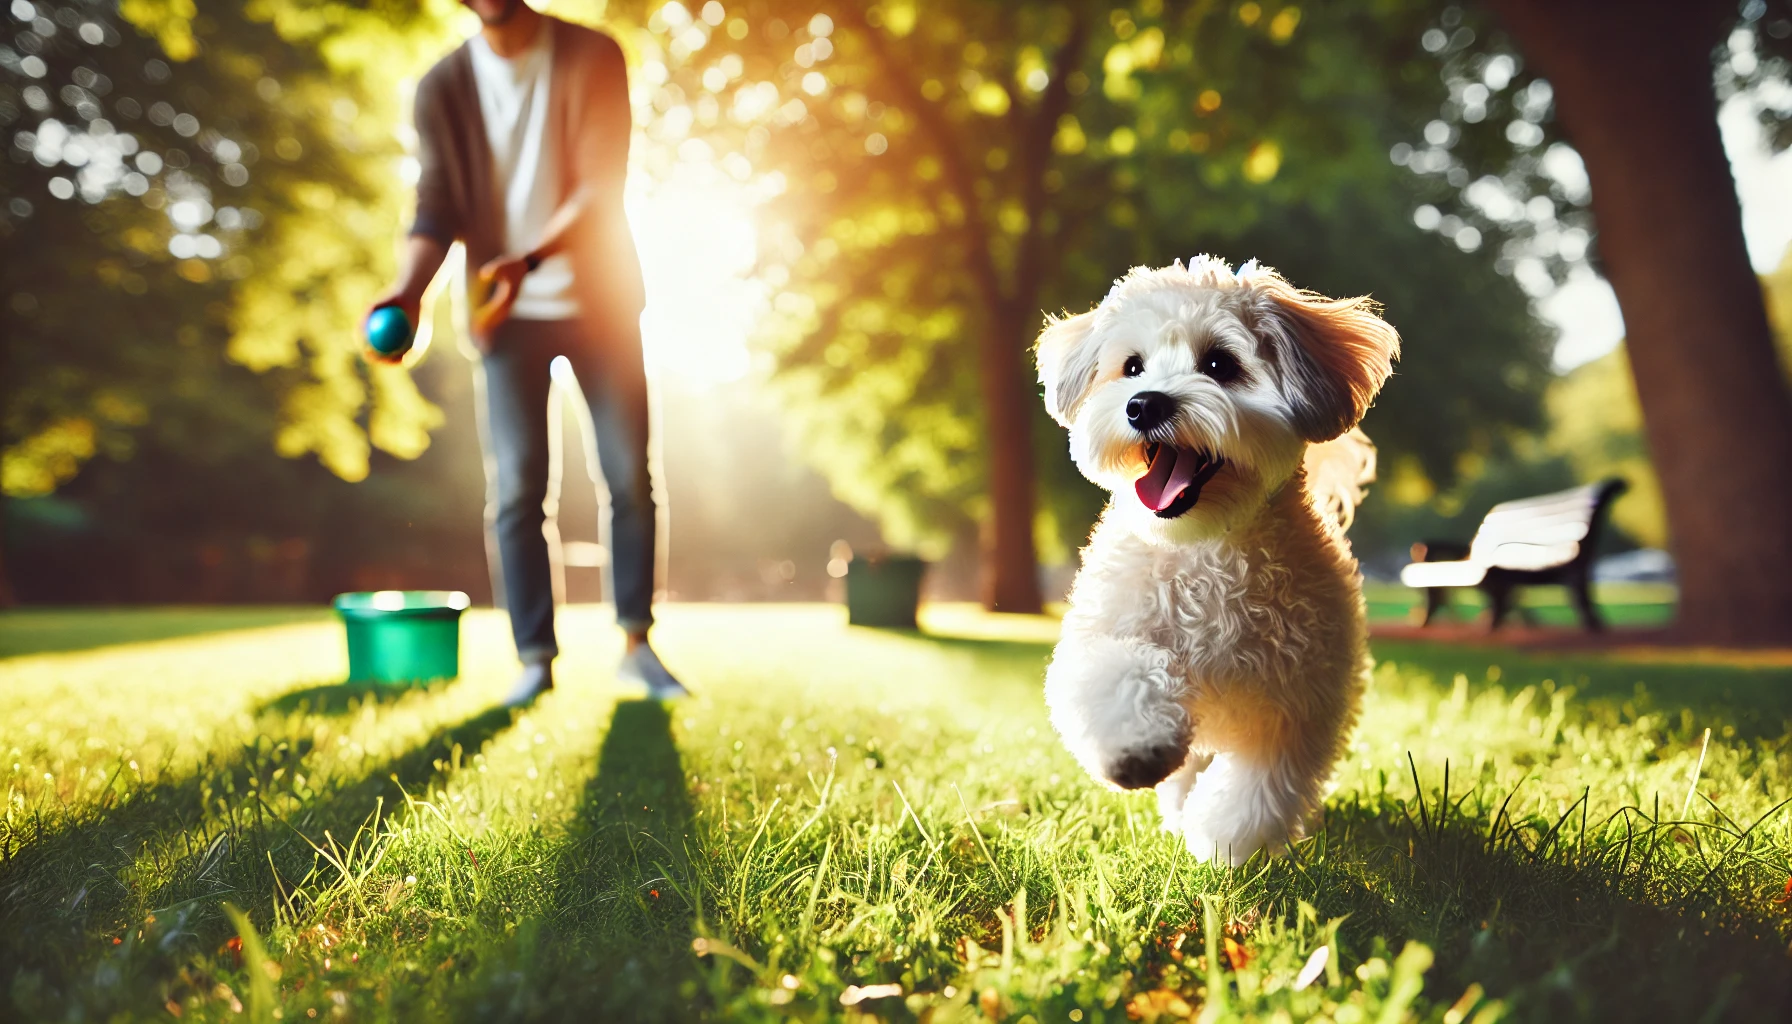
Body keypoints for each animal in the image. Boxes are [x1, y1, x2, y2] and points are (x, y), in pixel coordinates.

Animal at [1039, 256, 1397, 864]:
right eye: (1132, 367)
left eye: (1218, 364)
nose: (1144, 403)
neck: (1204, 547)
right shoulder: (1103, 636)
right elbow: (1114, 673)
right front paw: (1138, 748)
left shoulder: (1297, 704)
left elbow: (1258, 786)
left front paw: (1225, 845)